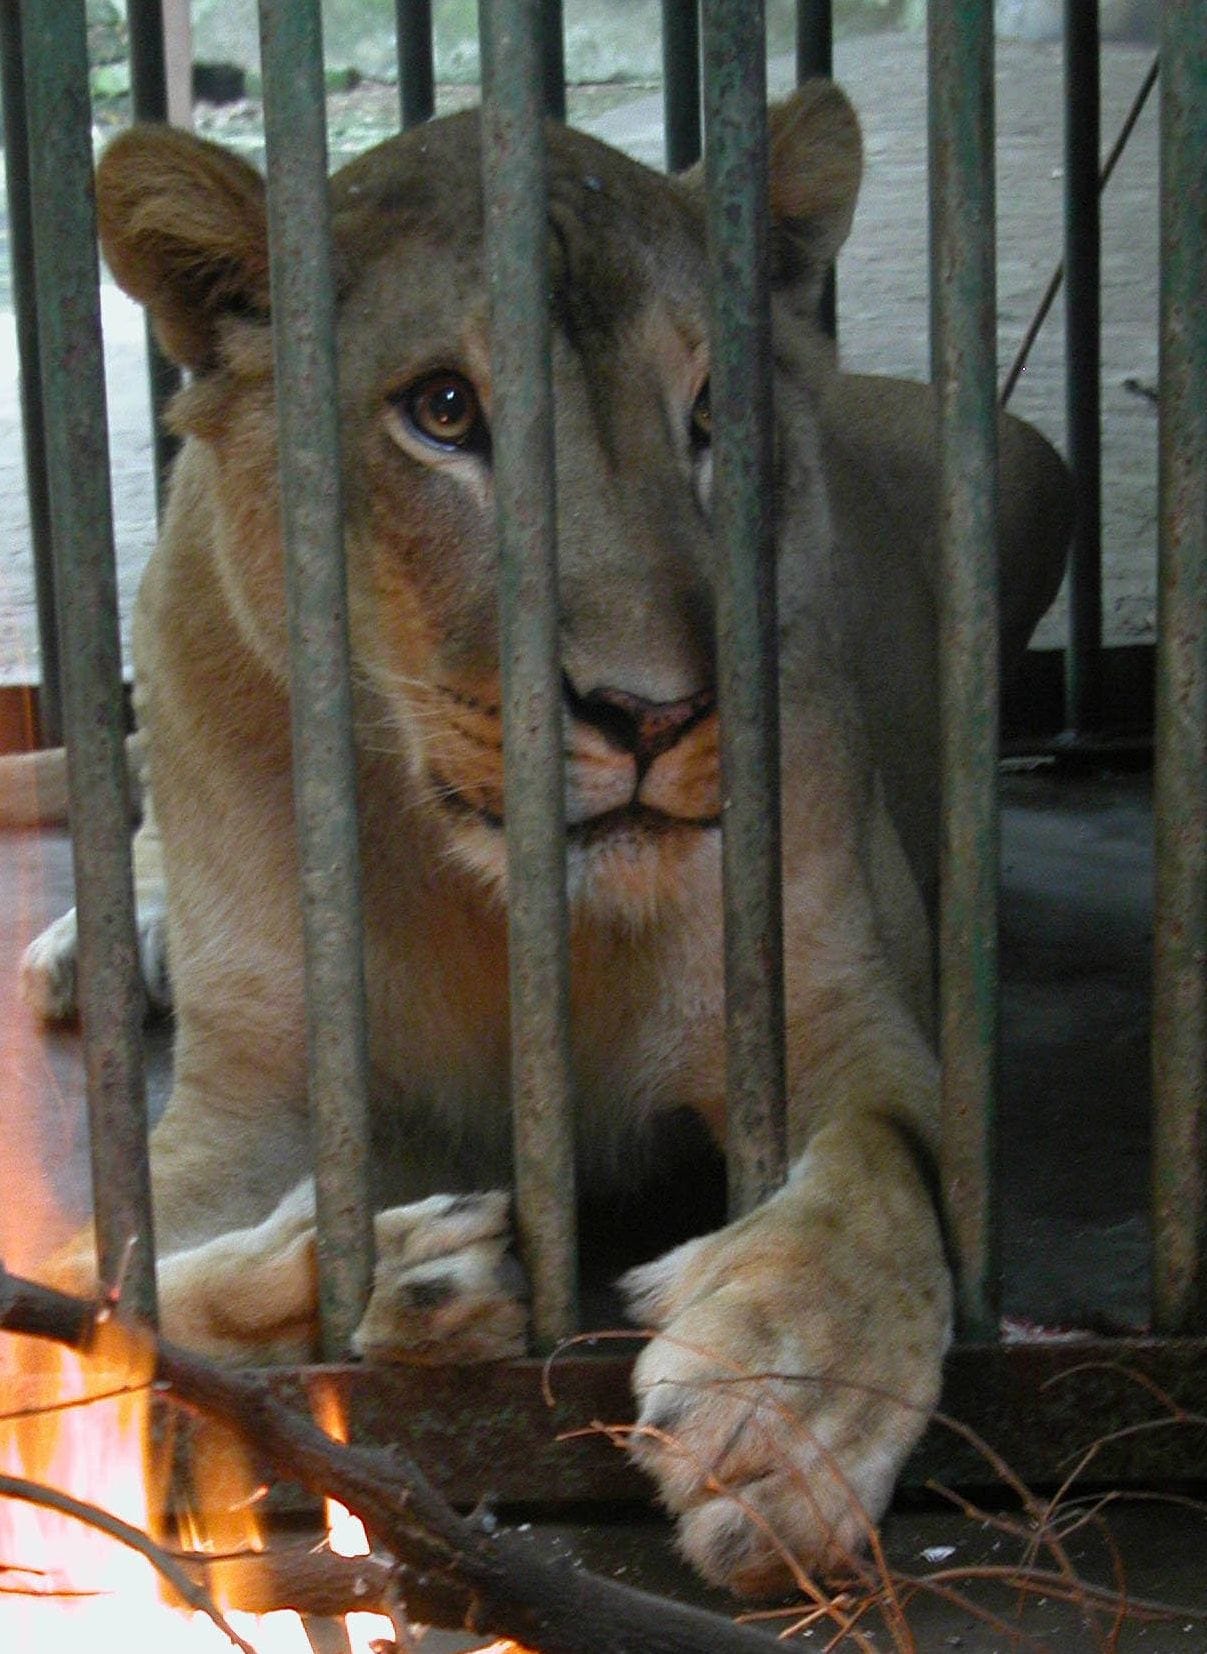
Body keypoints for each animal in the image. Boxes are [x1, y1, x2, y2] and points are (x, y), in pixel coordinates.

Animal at [21, 83, 1071, 1595]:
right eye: (443, 411)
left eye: (711, 411)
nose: (651, 711)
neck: (498, 903)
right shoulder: (250, 1101)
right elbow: (97, 1287)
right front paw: (396, 1278)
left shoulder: (837, 1013)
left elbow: (890, 1166)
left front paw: (779, 1411)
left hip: (1021, 466)